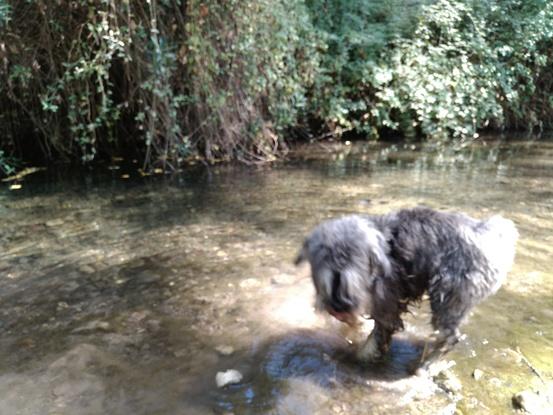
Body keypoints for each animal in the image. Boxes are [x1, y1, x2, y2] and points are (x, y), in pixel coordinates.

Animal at [296, 208, 516, 370]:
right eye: (325, 278)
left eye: (353, 277)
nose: (338, 307)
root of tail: (486, 235)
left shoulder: (387, 307)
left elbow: (376, 337)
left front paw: (362, 356)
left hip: (446, 300)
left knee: (450, 338)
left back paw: (426, 365)